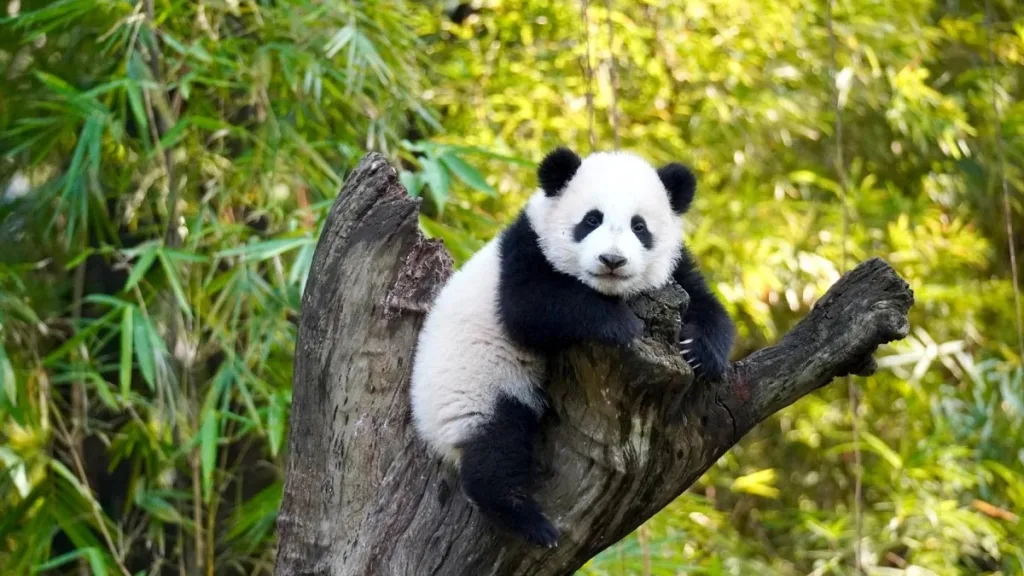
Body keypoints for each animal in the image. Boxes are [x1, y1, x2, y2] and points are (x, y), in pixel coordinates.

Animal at [409, 147, 735, 547]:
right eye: (591, 220)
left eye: (639, 227)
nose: (612, 261)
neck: (607, 290)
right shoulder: (527, 250)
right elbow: (530, 307)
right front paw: (621, 325)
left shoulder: (676, 272)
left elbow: (707, 304)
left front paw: (702, 353)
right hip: (476, 387)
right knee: (496, 447)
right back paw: (529, 521)